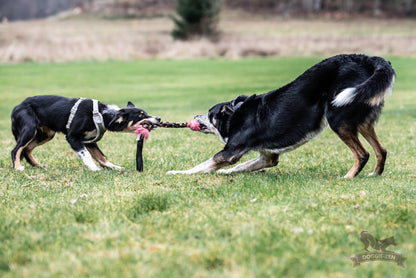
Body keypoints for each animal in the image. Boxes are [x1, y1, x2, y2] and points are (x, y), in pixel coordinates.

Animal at [11, 94, 161, 170]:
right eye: (141, 115)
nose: (159, 118)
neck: (102, 115)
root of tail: (16, 107)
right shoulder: (72, 137)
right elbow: (86, 155)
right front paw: (94, 169)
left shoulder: (89, 140)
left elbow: (101, 156)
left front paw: (113, 167)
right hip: (29, 129)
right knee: (16, 150)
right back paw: (18, 167)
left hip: (47, 134)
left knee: (26, 149)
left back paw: (38, 165)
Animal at [167, 53, 394, 178]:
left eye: (209, 114)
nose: (195, 116)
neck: (236, 114)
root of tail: (367, 60)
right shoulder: (267, 157)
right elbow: (242, 166)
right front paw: (225, 172)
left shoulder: (229, 152)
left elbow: (202, 166)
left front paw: (178, 173)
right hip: (361, 119)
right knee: (381, 150)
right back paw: (374, 174)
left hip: (338, 118)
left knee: (362, 153)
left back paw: (348, 177)